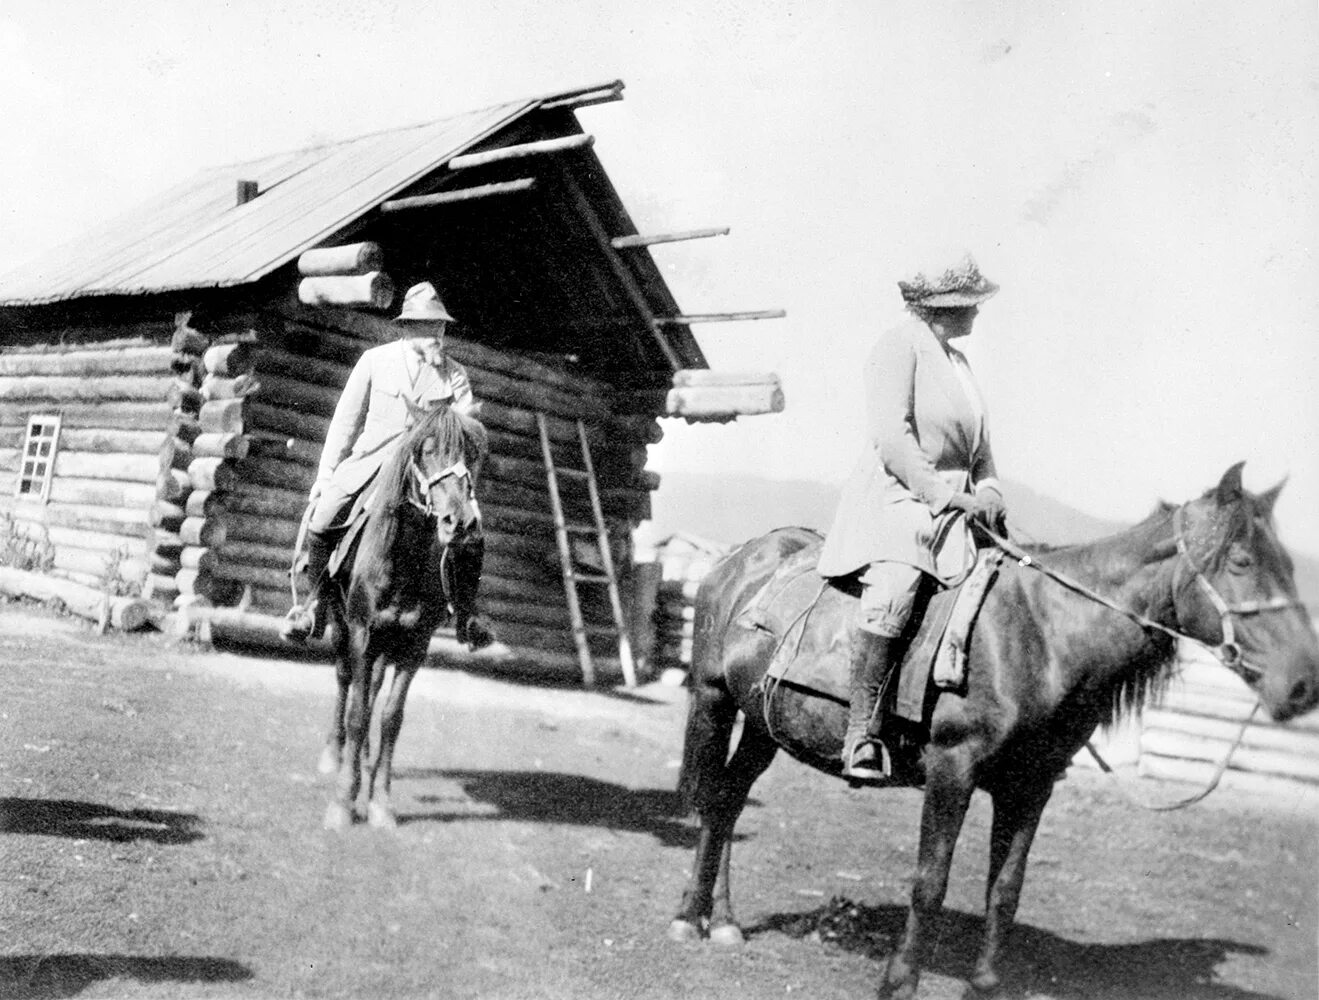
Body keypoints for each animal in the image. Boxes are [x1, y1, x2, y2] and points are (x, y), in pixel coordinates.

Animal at [316, 398, 488, 828]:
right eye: (425, 451)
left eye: (471, 454)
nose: (460, 522)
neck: (403, 561)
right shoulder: (362, 633)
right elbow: (358, 715)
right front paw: (343, 801)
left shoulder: (414, 645)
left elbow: (390, 718)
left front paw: (379, 802)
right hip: (343, 628)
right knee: (345, 684)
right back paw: (335, 756)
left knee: (372, 691)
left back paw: (363, 768)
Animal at [670, 467, 1319, 1000]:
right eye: (1241, 563)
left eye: (1289, 566)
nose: (1303, 684)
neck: (1042, 634)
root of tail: (743, 557)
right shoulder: (951, 772)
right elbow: (931, 882)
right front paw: (899, 981)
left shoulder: (1031, 787)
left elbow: (1005, 888)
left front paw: (983, 983)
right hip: (714, 701)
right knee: (713, 798)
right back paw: (687, 917)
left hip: (765, 727)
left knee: (728, 800)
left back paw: (721, 920)